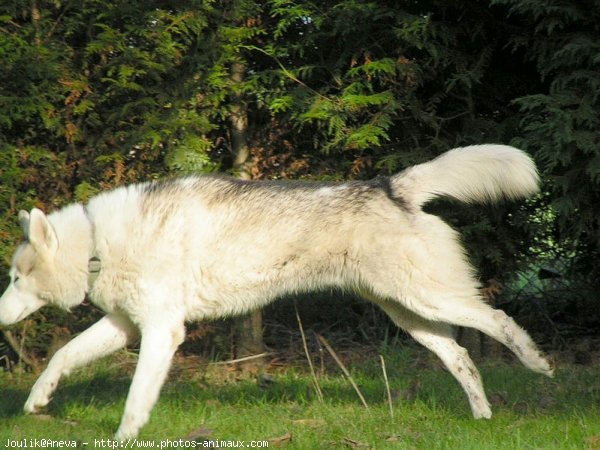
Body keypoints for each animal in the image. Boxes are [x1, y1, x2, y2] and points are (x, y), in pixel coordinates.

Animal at [1, 145, 552, 440]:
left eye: (14, 278)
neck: (99, 243)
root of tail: (389, 185)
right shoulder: (124, 327)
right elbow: (62, 358)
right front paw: (37, 401)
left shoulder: (161, 332)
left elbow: (137, 396)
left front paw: (124, 436)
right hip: (409, 315)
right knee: (462, 357)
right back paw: (482, 416)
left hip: (429, 300)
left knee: (500, 321)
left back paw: (537, 363)